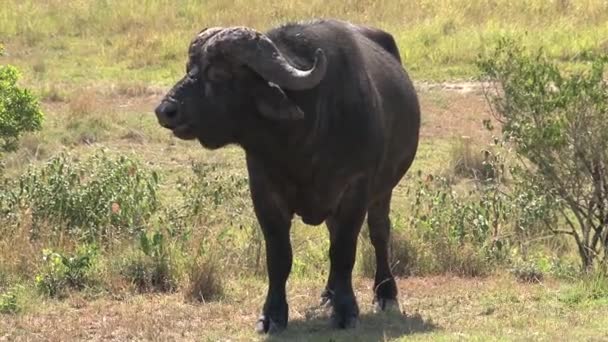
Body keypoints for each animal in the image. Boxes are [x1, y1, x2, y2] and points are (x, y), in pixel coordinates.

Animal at [154, 18, 420, 332]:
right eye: (189, 68)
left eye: (218, 73)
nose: (165, 110)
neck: (300, 141)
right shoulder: (265, 193)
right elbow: (280, 257)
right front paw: (272, 315)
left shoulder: (355, 189)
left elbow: (344, 251)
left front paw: (346, 310)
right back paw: (328, 294)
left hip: (383, 191)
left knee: (379, 233)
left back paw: (385, 293)